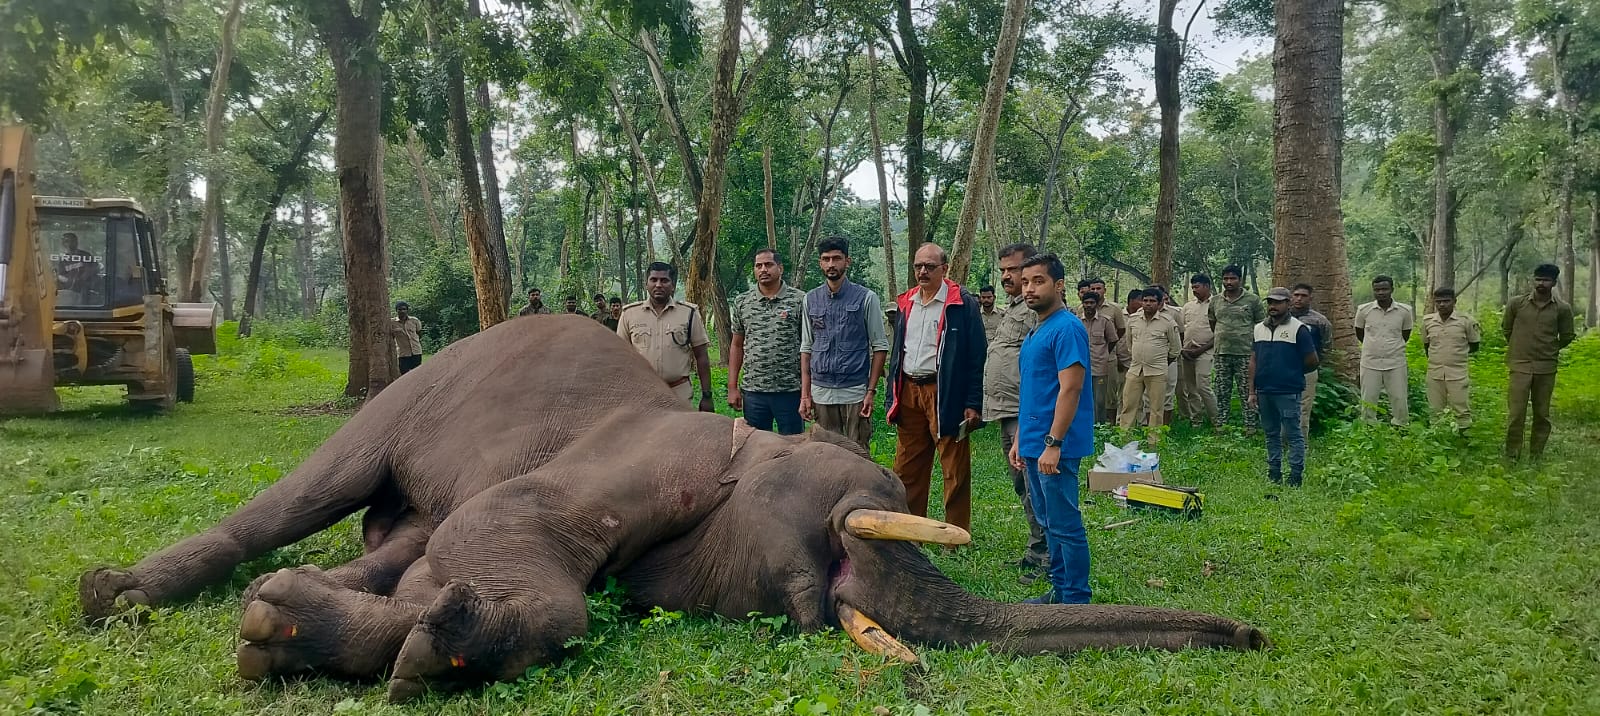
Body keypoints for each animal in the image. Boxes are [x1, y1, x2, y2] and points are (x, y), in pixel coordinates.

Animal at [81, 316, 1267, 703]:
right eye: (867, 511)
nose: (1254, 638)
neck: (748, 446)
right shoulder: (653, 453)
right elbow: (515, 531)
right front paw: (416, 649)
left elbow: (453, 555)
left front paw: (294, 632)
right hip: (411, 392)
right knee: (313, 490)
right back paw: (110, 596)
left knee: (405, 532)